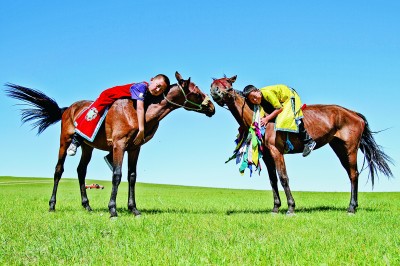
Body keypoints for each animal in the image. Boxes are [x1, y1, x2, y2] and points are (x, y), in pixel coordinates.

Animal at [5, 71, 216, 217]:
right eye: (197, 93)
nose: (212, 107)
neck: (141, 110)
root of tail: (67, 109)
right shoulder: (119, 146)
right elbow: (117, 175)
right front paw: (113, 210)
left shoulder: (134, 148)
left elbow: (132, 176)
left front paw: (133, 209)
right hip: (63, 143)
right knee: (58, 170)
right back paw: (52, 205)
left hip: (88, 147)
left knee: (81, 171)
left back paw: (87, 205)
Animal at [211, 75, 392, 214]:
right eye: (213, 84)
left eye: (228, 84)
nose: (215, 93)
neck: (261, 117)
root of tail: (354, 113)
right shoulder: (268, 156)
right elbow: (273, 180)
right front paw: (275, 208)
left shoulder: (277, 152)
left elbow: (283, 178)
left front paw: (291, 208)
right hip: (339, 149)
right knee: (351, 174)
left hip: (350, 148)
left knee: (354, 175)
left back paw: (351, 208)